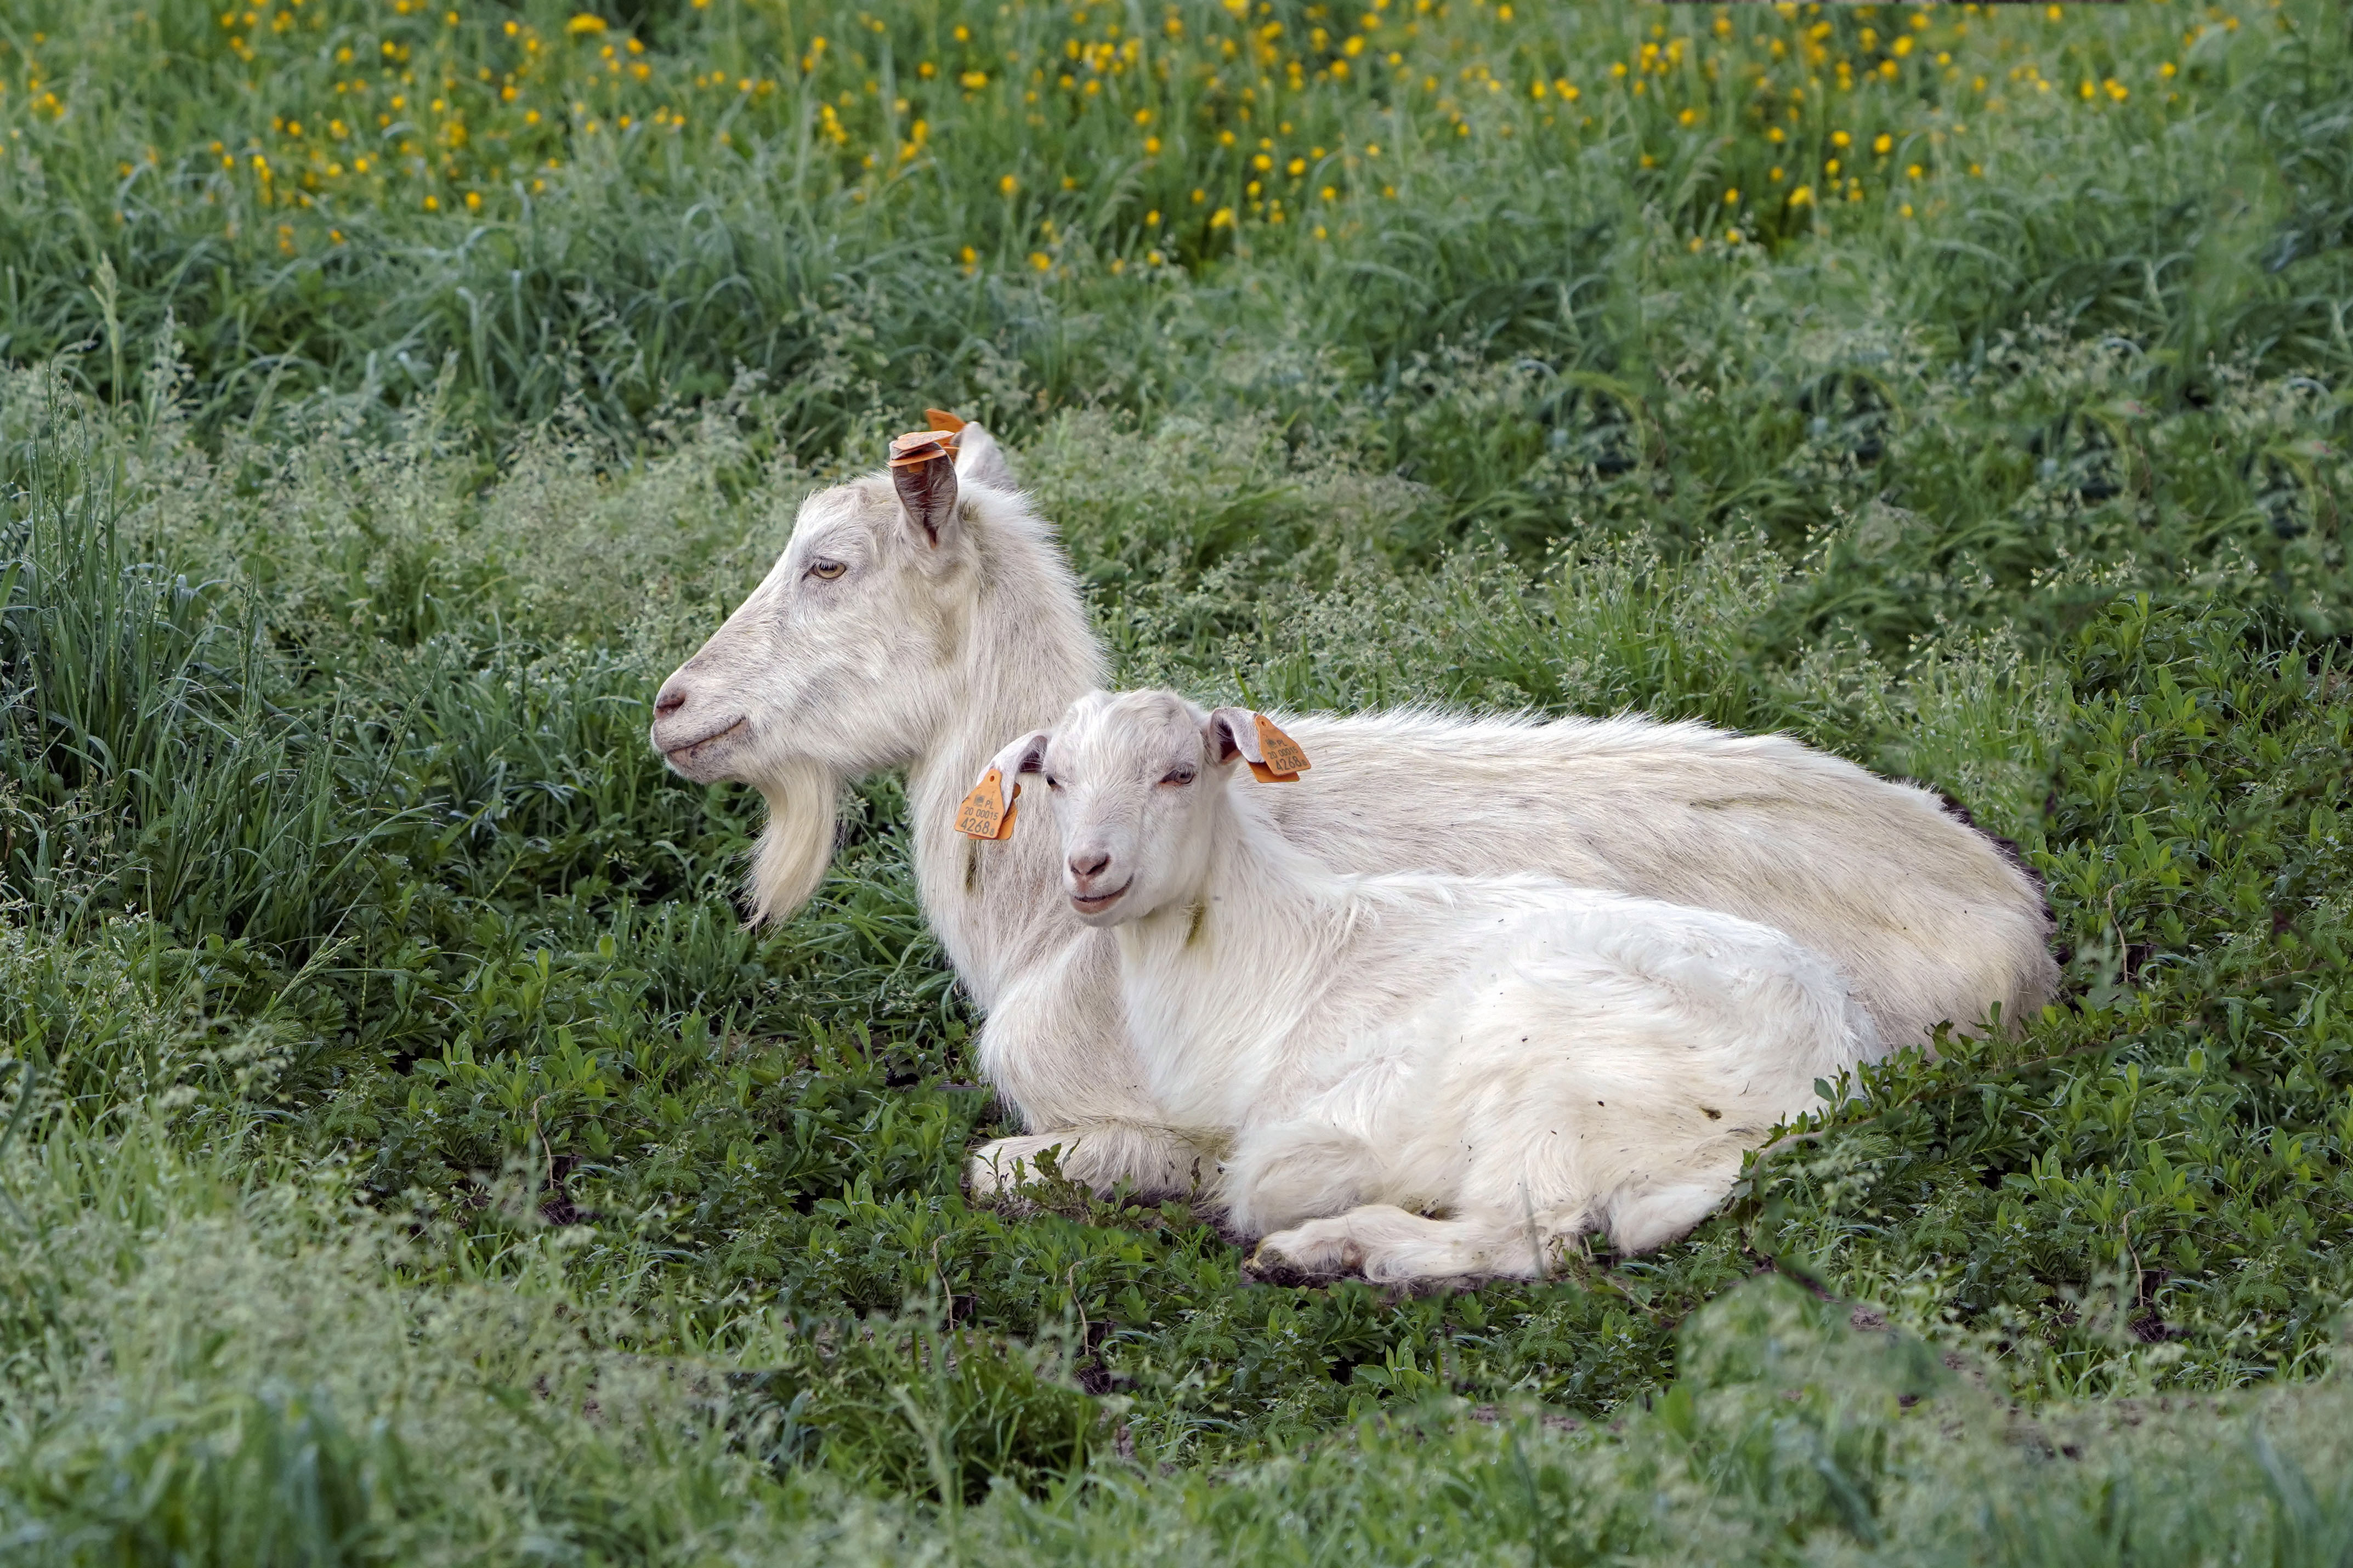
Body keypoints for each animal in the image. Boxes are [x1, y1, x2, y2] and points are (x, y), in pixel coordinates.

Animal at [964, 689, 1879, 1278]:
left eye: (1178, 773)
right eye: (1054, 779)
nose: (1087, 867)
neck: (1275, 948)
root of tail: (1821, 1074)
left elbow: (1264, 1175)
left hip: (1550, 1079)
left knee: (1527, 1238)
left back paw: (1326, 1249)